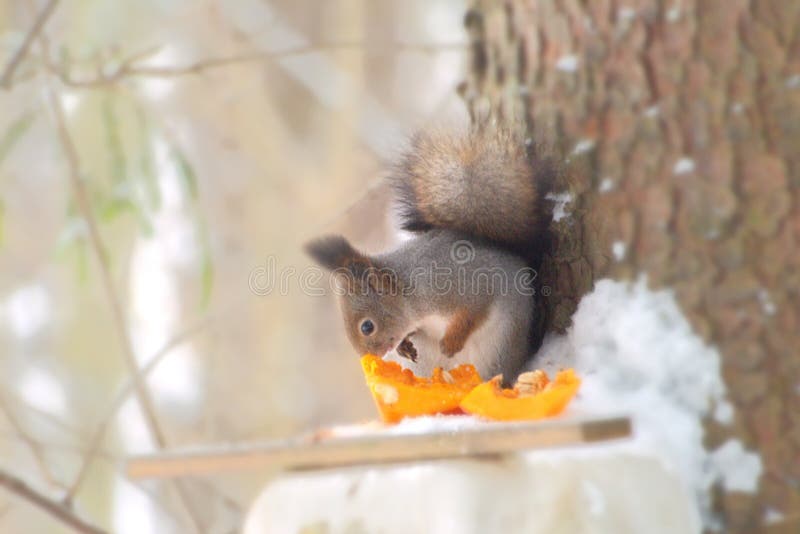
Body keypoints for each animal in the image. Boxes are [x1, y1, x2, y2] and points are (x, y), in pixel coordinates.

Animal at [305, 124, 555, 381]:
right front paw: (404, 345)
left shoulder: (462, 283)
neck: (409, 292)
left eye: (367, 326)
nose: (370, 357)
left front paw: (452, 341)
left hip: (502, 348)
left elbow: (474, 311)